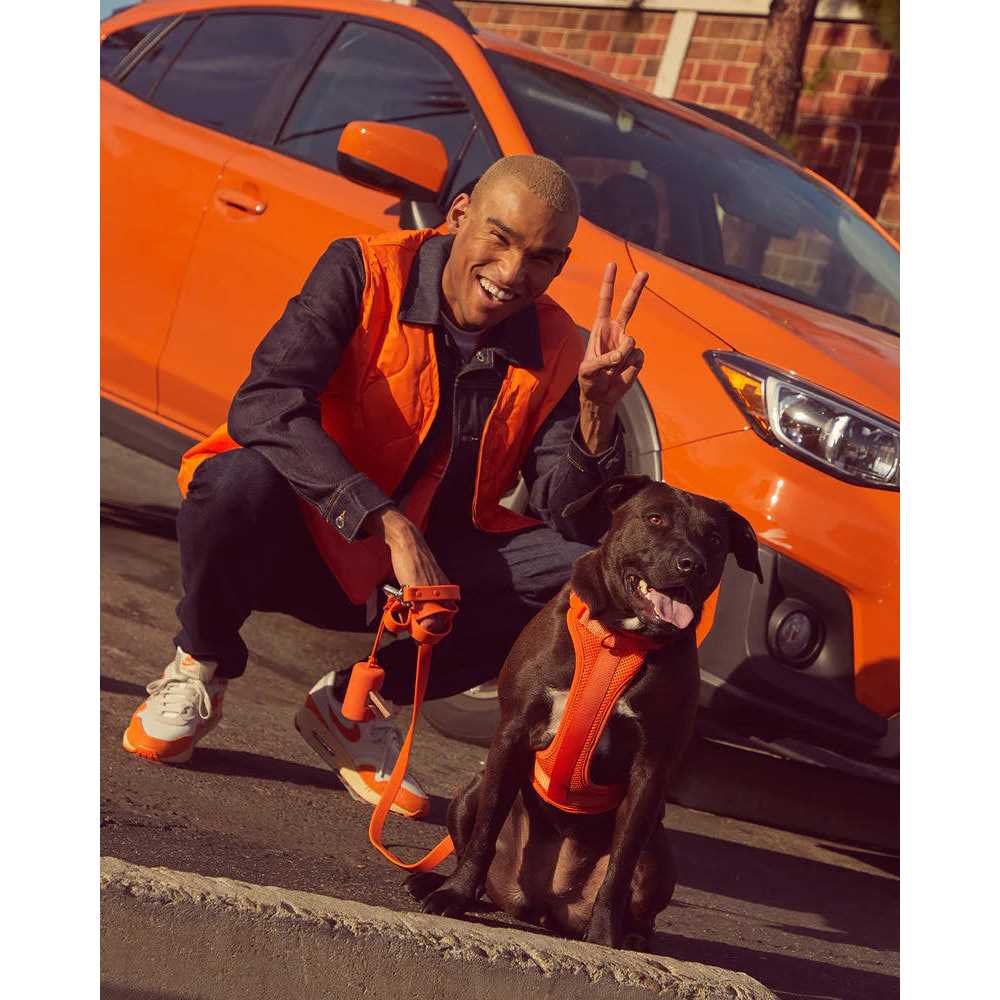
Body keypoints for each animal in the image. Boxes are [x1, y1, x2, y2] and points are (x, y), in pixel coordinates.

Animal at [408, 475, 762, 951]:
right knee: (475, 840)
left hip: (658, 855)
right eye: (655, 519)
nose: (693, 564)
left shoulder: (649, 771)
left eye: (715, 538)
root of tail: (544, 903)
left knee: (640, 898)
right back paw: (441, 884)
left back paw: (632, 937)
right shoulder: (512, 733)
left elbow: (620, 868)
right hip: (469, 793)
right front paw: (455, 896)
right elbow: (485, 832)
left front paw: (605, 937)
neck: (619, 640)